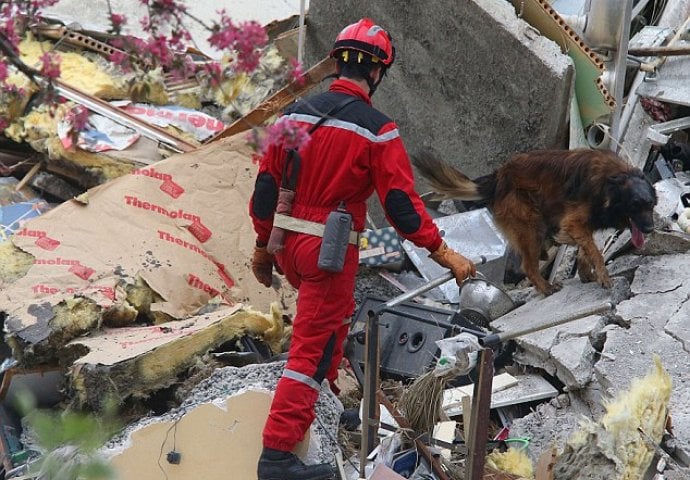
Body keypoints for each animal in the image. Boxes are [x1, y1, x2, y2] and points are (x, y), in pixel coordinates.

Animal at [408, 148, 656, 294]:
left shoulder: (585, 224)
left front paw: (587, 273)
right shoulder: (574, 221)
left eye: (651, 205)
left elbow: (587, 249)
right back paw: (546, 287)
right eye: (635, 205)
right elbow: (595, 250)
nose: (651, 228)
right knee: (528, 265)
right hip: (531, 226)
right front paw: (602, 275)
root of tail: (498, 178)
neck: (612, 182)